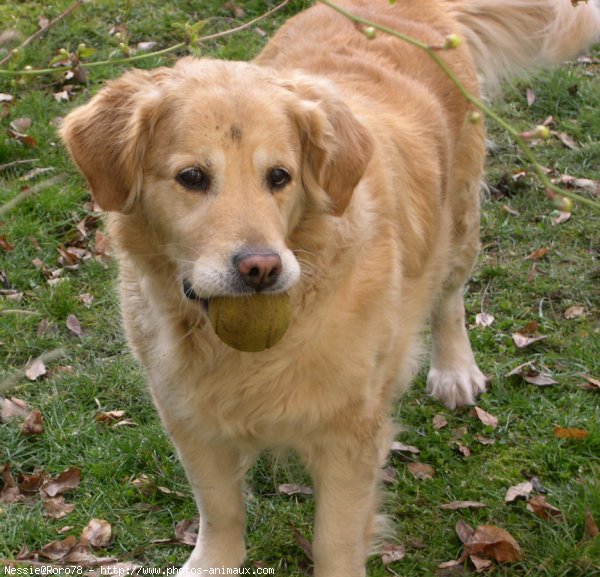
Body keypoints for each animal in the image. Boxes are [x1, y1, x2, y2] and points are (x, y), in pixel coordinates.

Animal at [62, 0, 600, 572]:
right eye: (192, 177)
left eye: (279, 176)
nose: (261, 268)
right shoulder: (186, 414)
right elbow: (220, 508)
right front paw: (212, 561)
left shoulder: (350, 432)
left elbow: (334, 539)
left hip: (458, 221)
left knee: (449, 297)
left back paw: (455, 370)